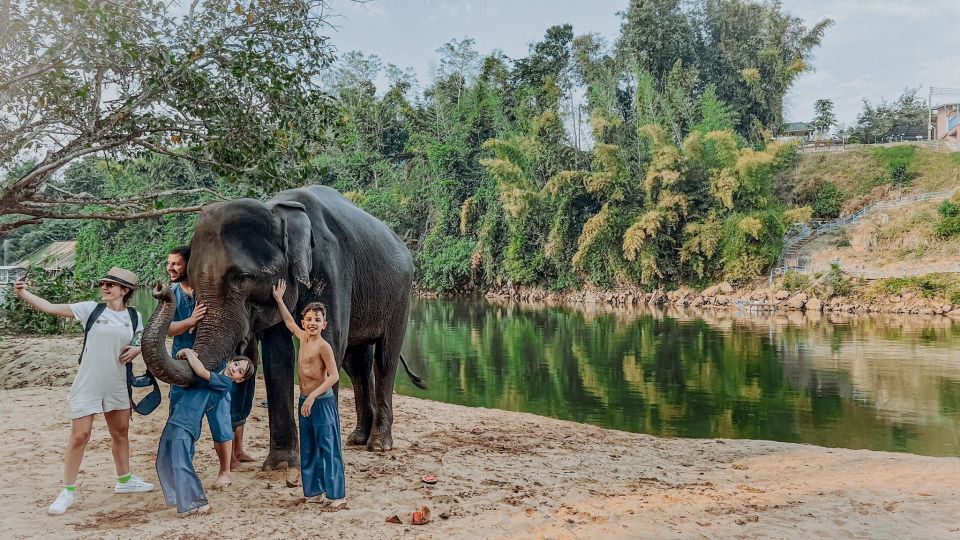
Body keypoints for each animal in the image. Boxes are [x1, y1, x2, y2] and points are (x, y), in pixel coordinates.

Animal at [141, 182, 426, 468]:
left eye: (241, 278)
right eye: (193, 280)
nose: (161, 288)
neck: (278, 210)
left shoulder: (333, 266)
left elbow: (330, 342)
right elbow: (278, 356)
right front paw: (281, 464)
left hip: (402, 294)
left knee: (385, 357)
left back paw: (379, 444)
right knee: (357, 363)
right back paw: (357, 438)